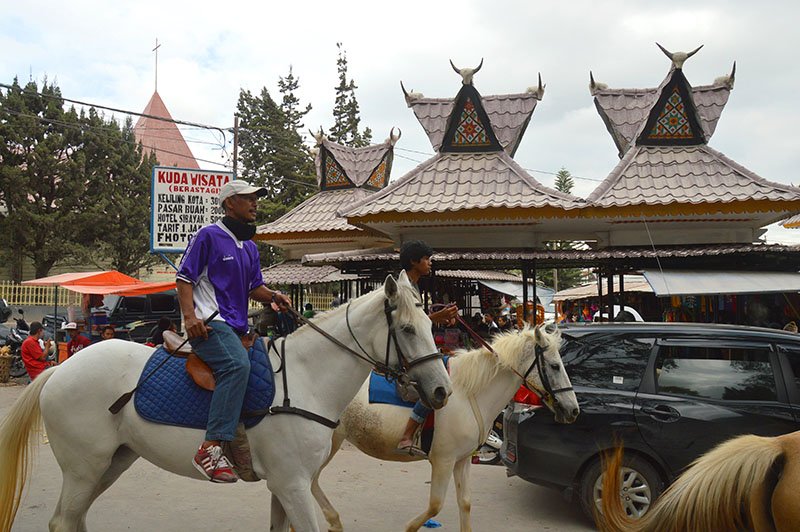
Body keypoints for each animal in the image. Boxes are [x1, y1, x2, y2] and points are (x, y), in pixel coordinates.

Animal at [0, 272, 450, 528]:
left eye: (431, 325)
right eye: (407, 329)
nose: (441, 390)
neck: (307, 379)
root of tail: (62, 369)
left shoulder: (284, 487)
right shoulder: (294, 484)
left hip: (111, 463)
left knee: (73, 519)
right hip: (83, 469)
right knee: (63, 521)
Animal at [310, 324, 580, 532]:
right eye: (555, 366)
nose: (573, 410)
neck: (470, 394)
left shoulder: (462, 460)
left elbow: (465, 503)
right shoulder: (443, 461)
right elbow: (435, 505)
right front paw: (410, 527)